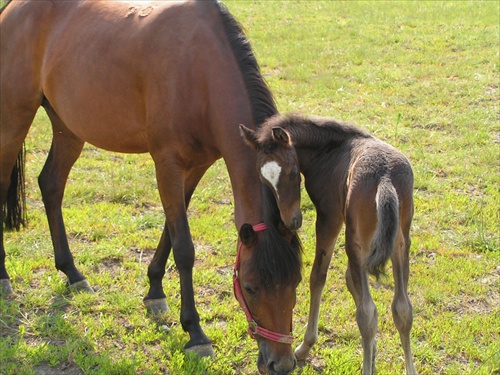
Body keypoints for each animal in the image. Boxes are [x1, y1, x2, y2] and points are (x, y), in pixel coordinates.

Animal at [0, 1, 300, 374]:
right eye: (250, 286)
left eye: (296, 283)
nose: (281, 364)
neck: (198, 70)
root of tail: (14, 10)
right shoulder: (167, 163)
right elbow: (184, 247)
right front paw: (195, 333)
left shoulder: (197, 165)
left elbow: (170, 231)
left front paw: (155, 290)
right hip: (14, 117)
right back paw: (4, 276)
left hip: (67, 126)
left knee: (51, 185)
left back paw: (72, 272)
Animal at [241, 115, 418, 375]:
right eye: (264, 179)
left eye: (293, 173)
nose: (291, 221)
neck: (330, 149)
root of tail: (385, 179)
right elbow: (350, 280)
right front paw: (373, 352)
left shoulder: (329, 217)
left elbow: (318, 276)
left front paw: (305, 346)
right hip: (400, 243)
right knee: (402, 308)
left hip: (356, 242)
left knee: (367, 312)